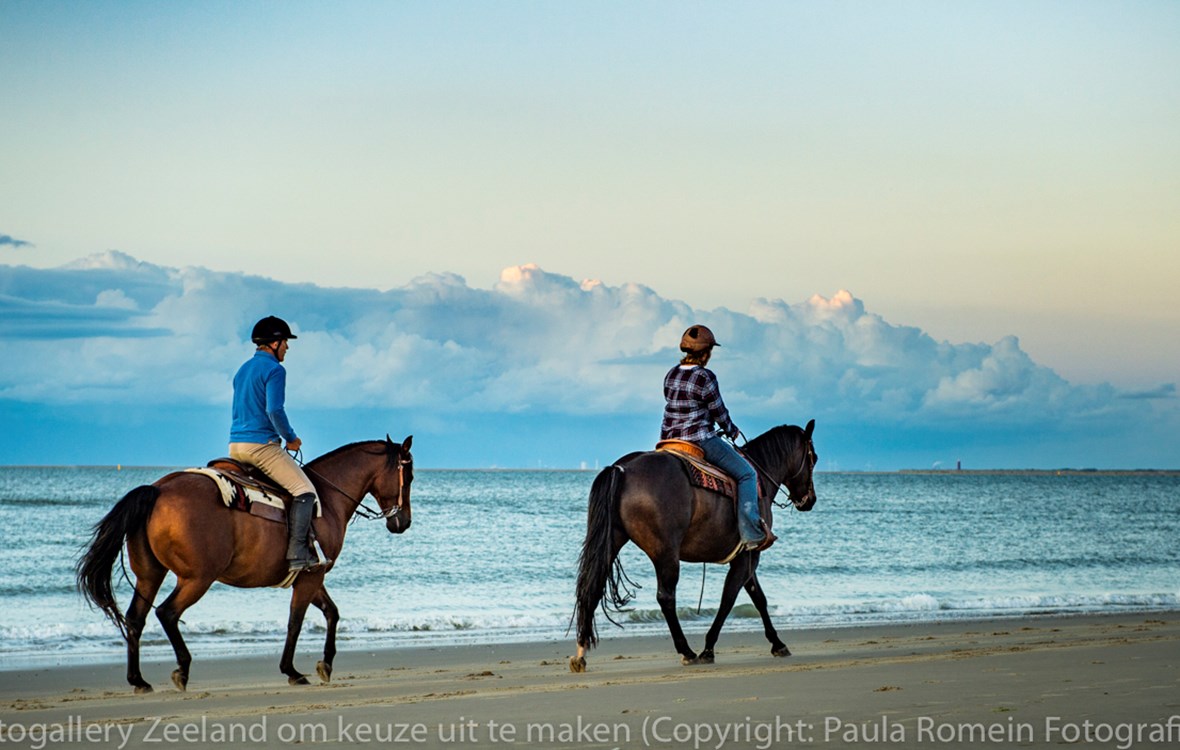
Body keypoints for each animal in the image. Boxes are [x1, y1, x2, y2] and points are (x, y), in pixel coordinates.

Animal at [74, 436, 415, 693]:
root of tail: (158, 489)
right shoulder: (311, 577)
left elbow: (332, 613)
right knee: (167, 613)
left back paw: (139, 680)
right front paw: (291, 670)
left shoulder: (310, 576)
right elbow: (296, 622)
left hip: (150, 574)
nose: (403, 522)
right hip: (197, 579)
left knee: (135, 619)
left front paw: (326, 664)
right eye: (409, 477)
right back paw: (182, 669)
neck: (326, 499)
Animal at [568, 419, 811, 669]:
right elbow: (728, 600)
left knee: (592, 589)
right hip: (666, 553)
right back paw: (686, 650)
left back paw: (581, 653)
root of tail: (622, 469)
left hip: (612, 541)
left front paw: (777, 644)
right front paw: (708, 648)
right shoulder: (748, 557)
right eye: (813, 458)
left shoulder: (745, 557)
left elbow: (758, 598)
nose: (810, 500)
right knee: (666, 598)